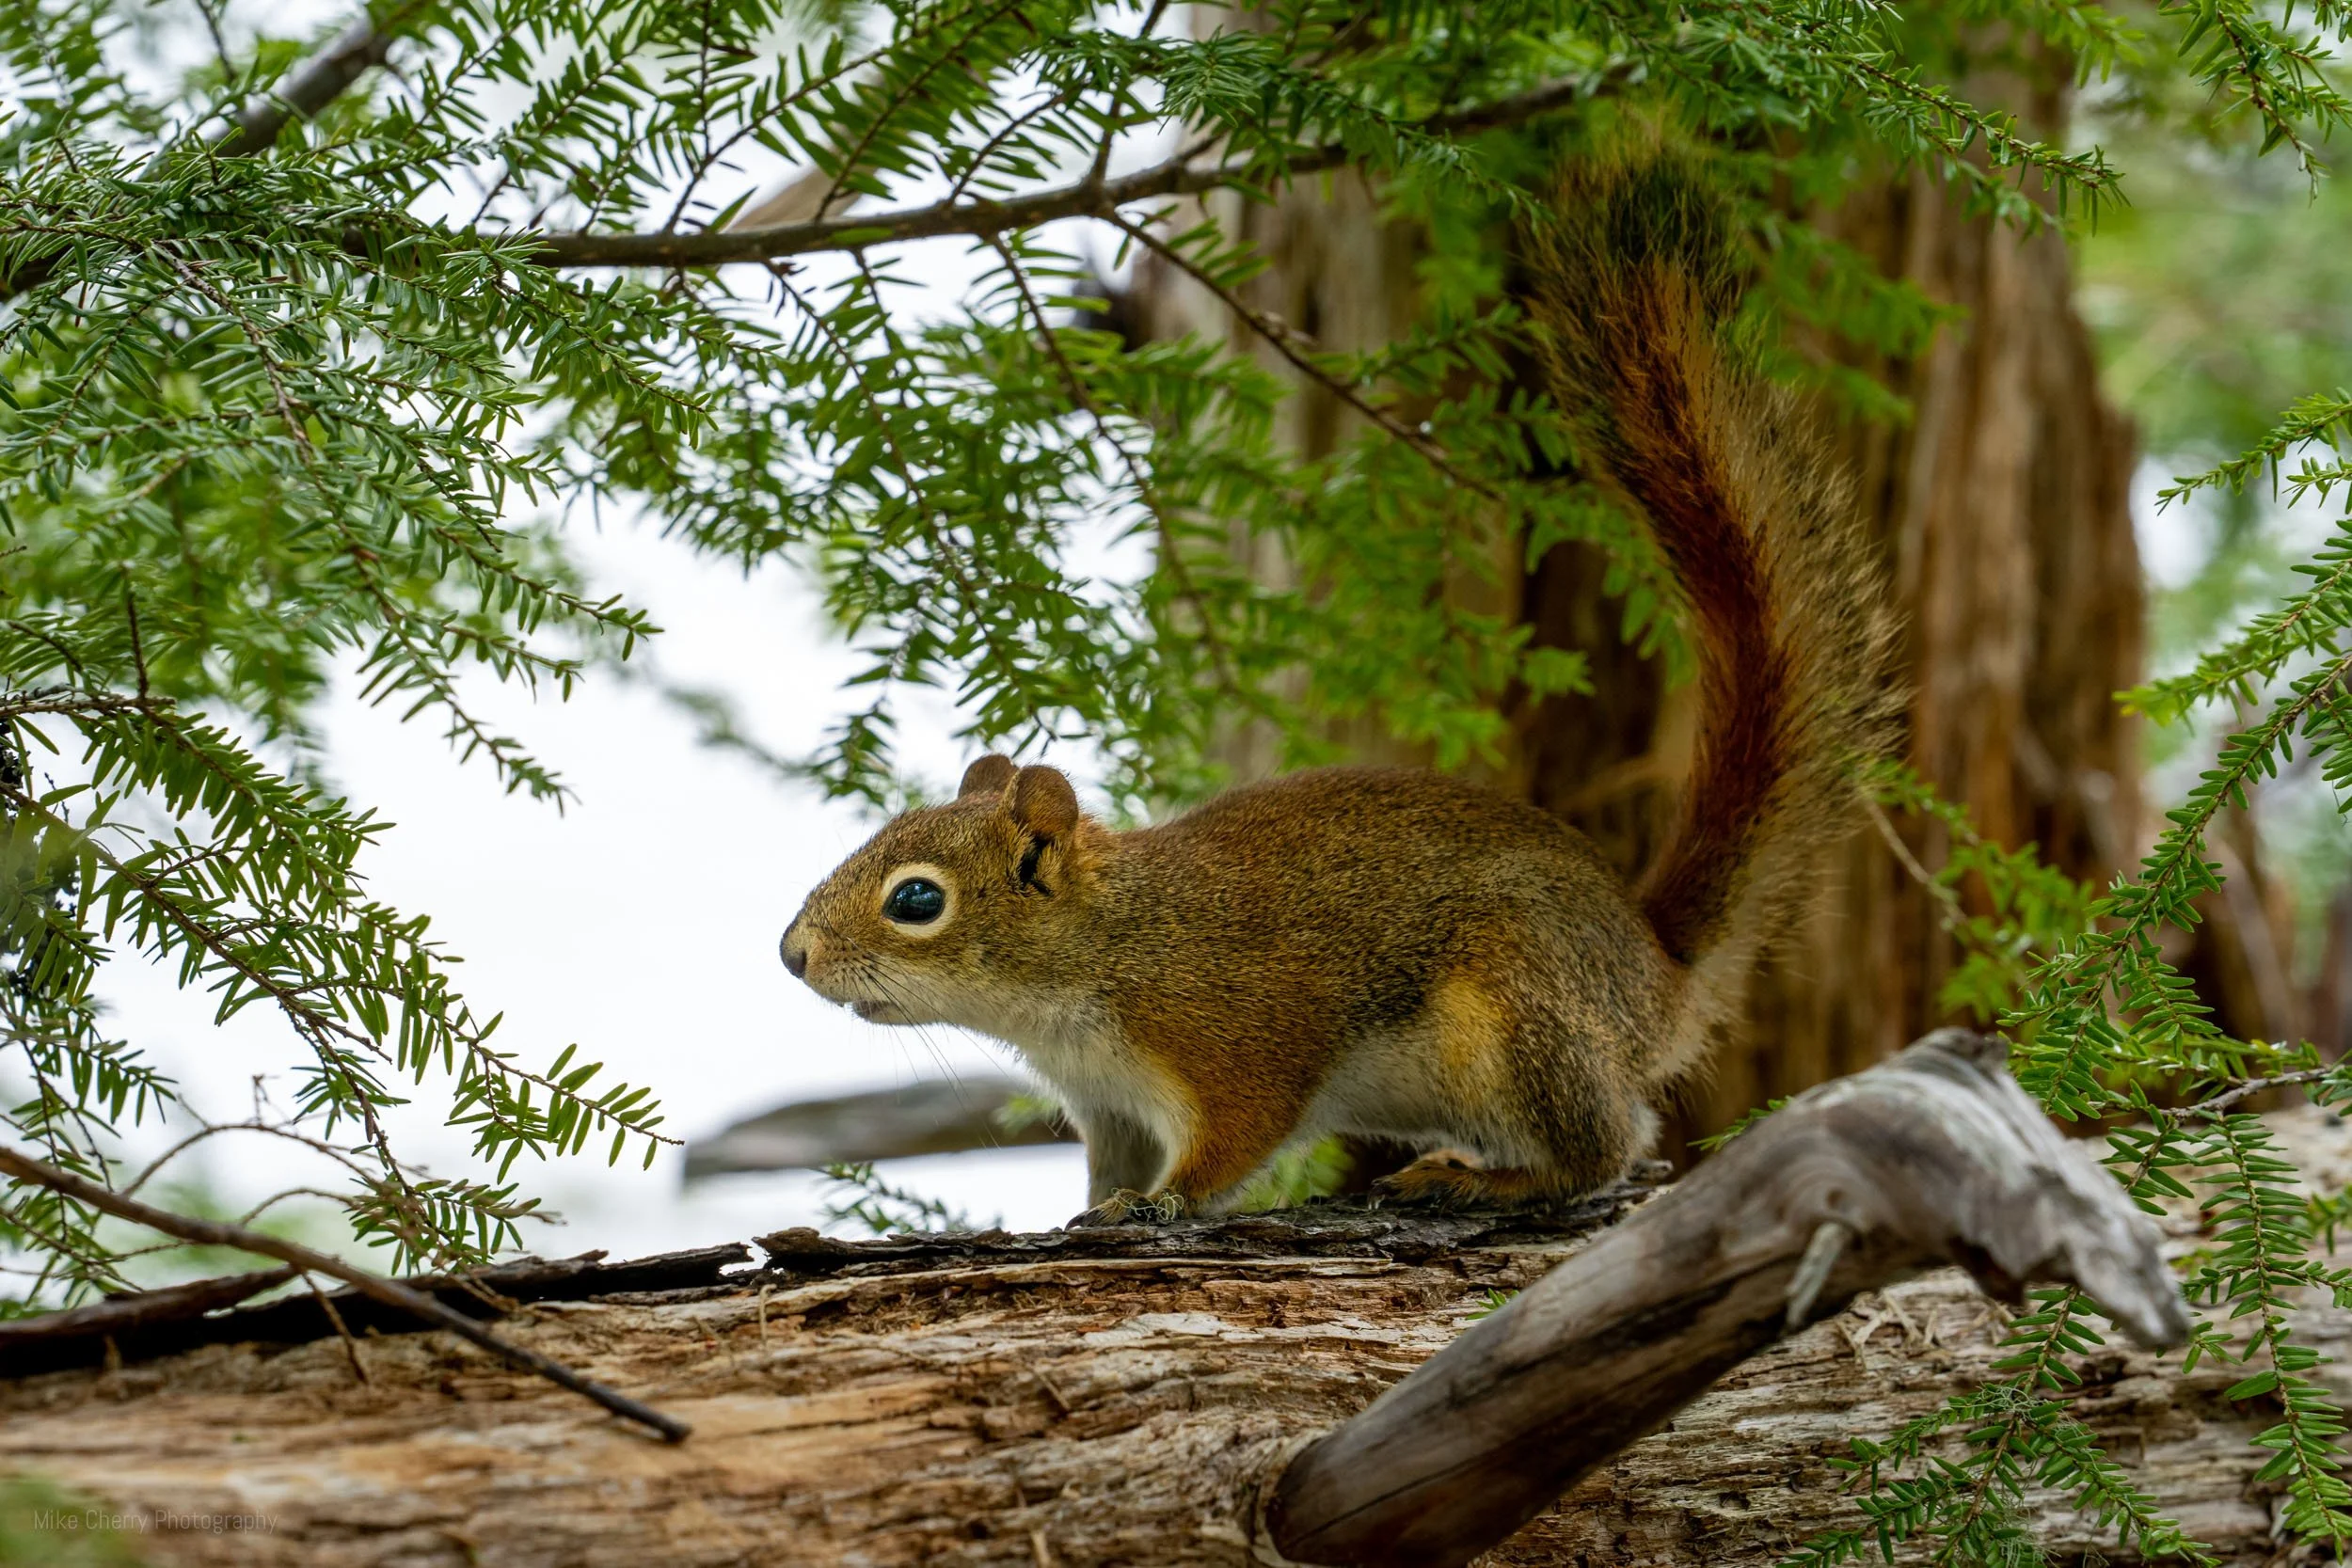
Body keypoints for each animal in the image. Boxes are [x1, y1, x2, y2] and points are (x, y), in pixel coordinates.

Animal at [779, 150, 1894, 1224]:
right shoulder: (1110, 1104)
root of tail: (1654, 977)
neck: (1105, 949)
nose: (792, 955)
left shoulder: (1232, 1038)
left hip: (1516, 1014)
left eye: (916, 898)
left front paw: (1165, 1205)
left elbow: (1232, 1138)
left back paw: (1483, 1180)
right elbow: (1108, 1168)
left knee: (1608, 1146)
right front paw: (1088, 1213)